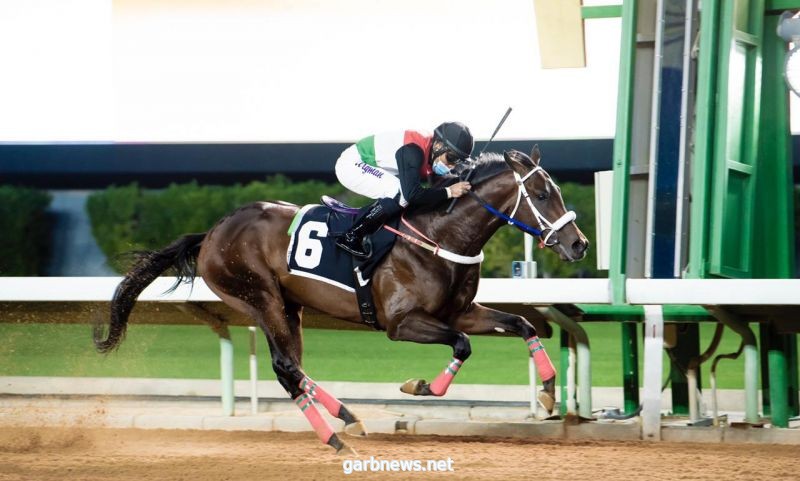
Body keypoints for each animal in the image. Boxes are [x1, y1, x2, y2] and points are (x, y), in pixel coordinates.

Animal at [94, 147, 588, 454]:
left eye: (557, 191)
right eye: (541, 193)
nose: (579, 244)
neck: (440, 235)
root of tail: (212, 232)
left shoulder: (461, 312)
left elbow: (522, 325)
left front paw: (547, 394)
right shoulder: (401, 324)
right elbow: (463, 345)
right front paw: (420, 386)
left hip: (286, 306)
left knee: (290, 368)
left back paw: (346, 421)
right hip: (258, 297)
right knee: (286, 366)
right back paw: (337, 432)